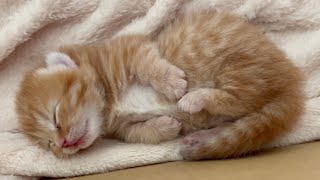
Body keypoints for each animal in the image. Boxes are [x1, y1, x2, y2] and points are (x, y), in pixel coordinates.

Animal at [15, 10, 304, 160]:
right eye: (47, 144)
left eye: (55, 116)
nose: (63, 144)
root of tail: (291, 80)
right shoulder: (122, 129)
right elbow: (138, 134)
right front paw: (166, 125)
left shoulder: (134, 48)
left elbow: (148, 64)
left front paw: (173, 84)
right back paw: (200, 136)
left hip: (240, 67)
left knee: (239, 98)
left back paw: (193, 98)